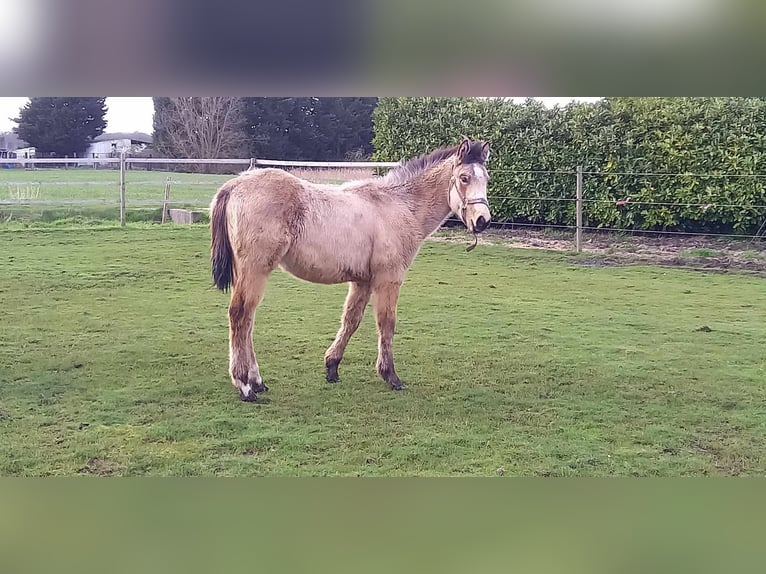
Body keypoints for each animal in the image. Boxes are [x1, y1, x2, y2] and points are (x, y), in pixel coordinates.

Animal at [210, 137, 496, 402]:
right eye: (464, 178)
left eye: (487, 179)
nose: (482, 221)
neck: (398, 205)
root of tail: (235, 185)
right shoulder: (388, 279)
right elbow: (386, 323)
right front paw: (391, 376)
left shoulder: (363, 281)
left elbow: (351, 320)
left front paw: (332, 367)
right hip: (255, 270)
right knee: (240, 315)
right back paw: (245, 385)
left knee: (248, 320)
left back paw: (257, 381)